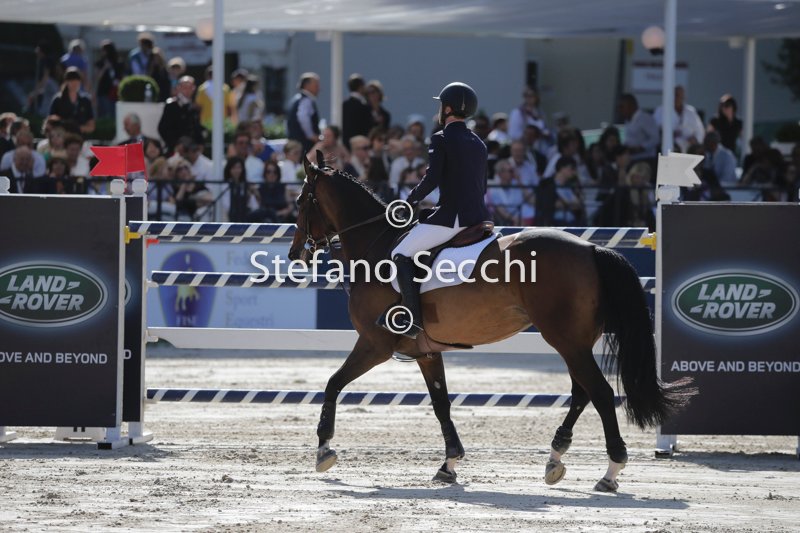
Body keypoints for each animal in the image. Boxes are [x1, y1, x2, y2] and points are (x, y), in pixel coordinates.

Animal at [287, 152, 693, 492]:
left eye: (301, 201)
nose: (295, 255)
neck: (378, 246)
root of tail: (590, 249)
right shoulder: (426, 353)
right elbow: (441, 404)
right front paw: (448, 465)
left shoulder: (375, 344)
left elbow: (332, 384)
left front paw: (324, 450)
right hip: (576, 341)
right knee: (582, 393)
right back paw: (555, 459)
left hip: (565, 340)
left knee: (601, 393)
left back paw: (611, 471)